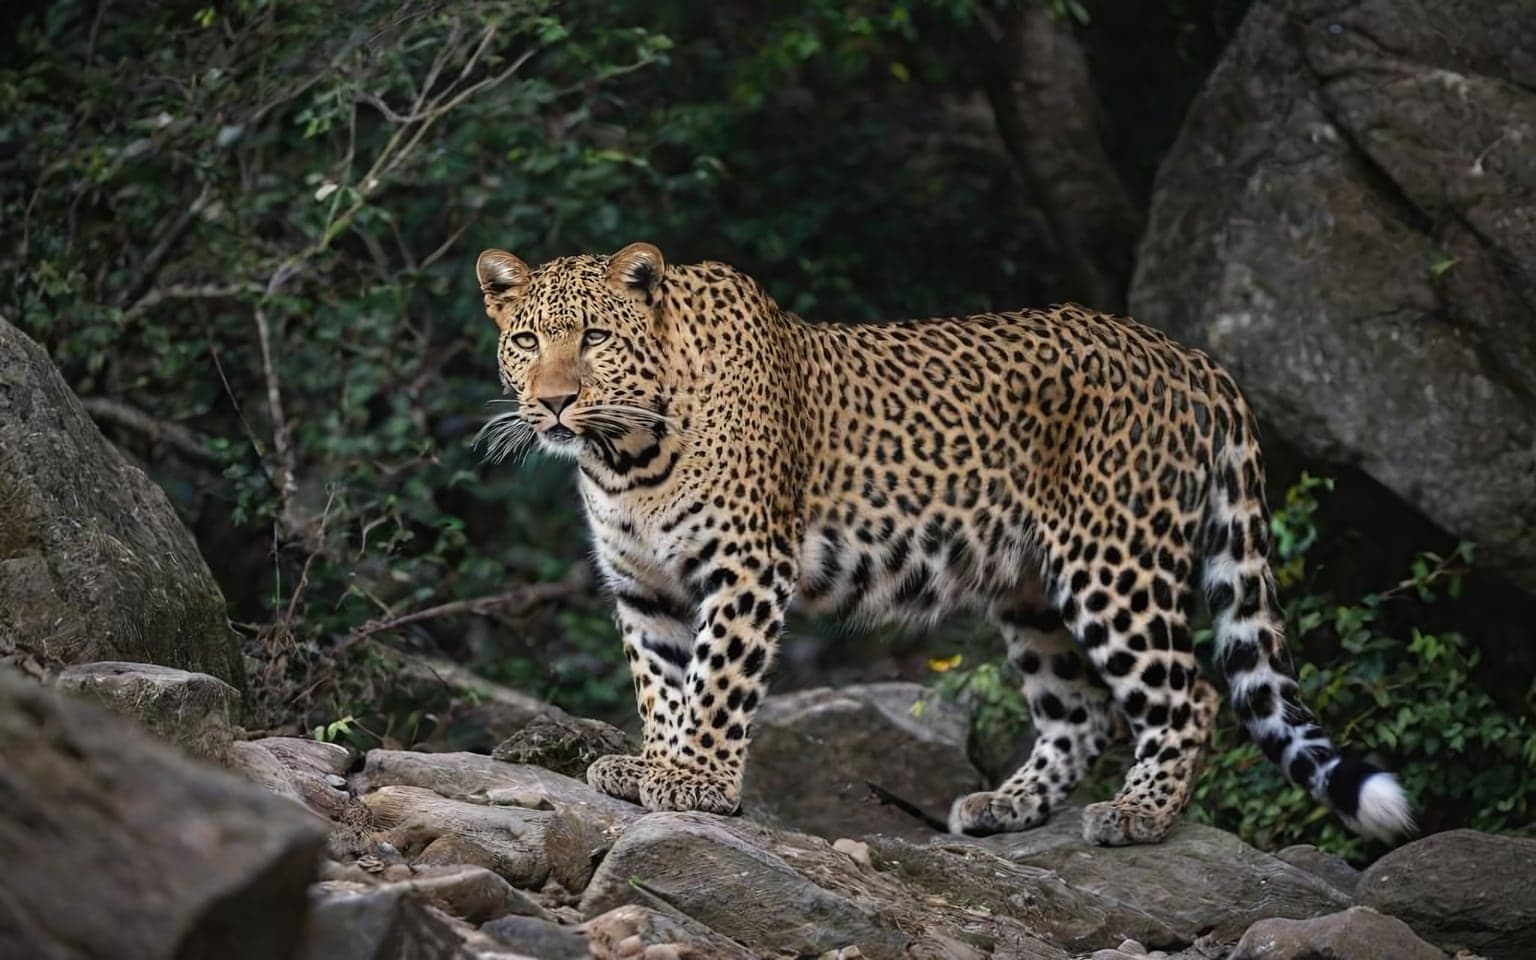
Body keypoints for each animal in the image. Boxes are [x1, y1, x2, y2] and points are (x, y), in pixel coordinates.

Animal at [473, 241, 1415, 846]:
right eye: (526, 340)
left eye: (595, 337)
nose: (553, 402)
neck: (626, 454)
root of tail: (1194, 358)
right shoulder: (645, 586)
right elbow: (663, 685)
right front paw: (651, 764)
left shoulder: (746, 567)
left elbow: (716, 684)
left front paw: (696, 781)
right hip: (1032, 588)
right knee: (1083, 711)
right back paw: (1007, 807)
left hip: (1115, 563)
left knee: (1192, 694)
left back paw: (1139, 815)